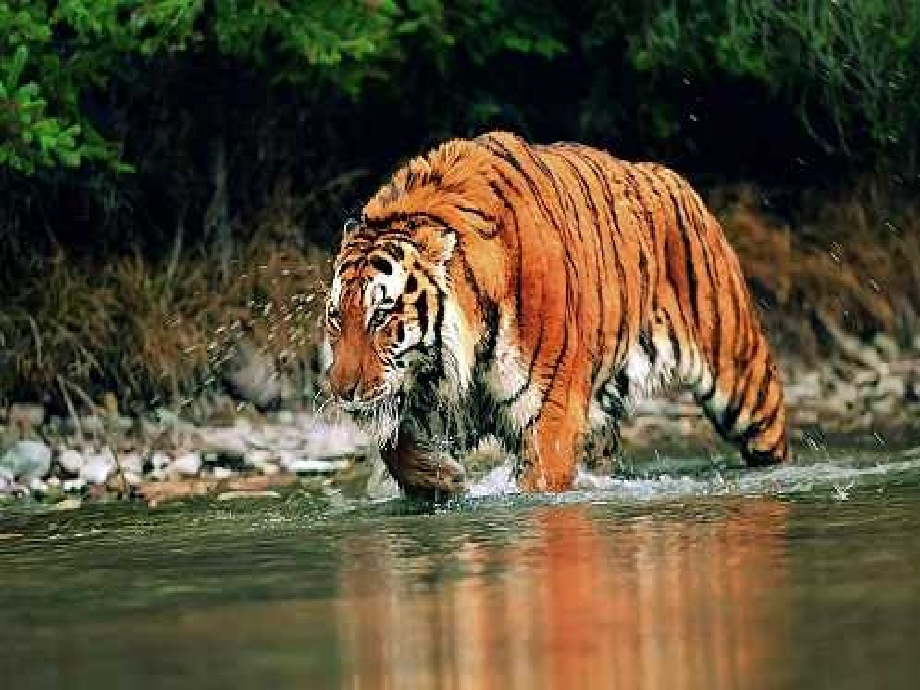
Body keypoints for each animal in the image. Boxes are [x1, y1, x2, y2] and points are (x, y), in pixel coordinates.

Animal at [322, 131, 789, 498]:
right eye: (336, 318)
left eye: (382, 315)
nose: (341, 391)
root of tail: (675, 180)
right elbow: (393, 444)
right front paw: (439, 478)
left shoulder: (550, 416)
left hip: (744, 382)